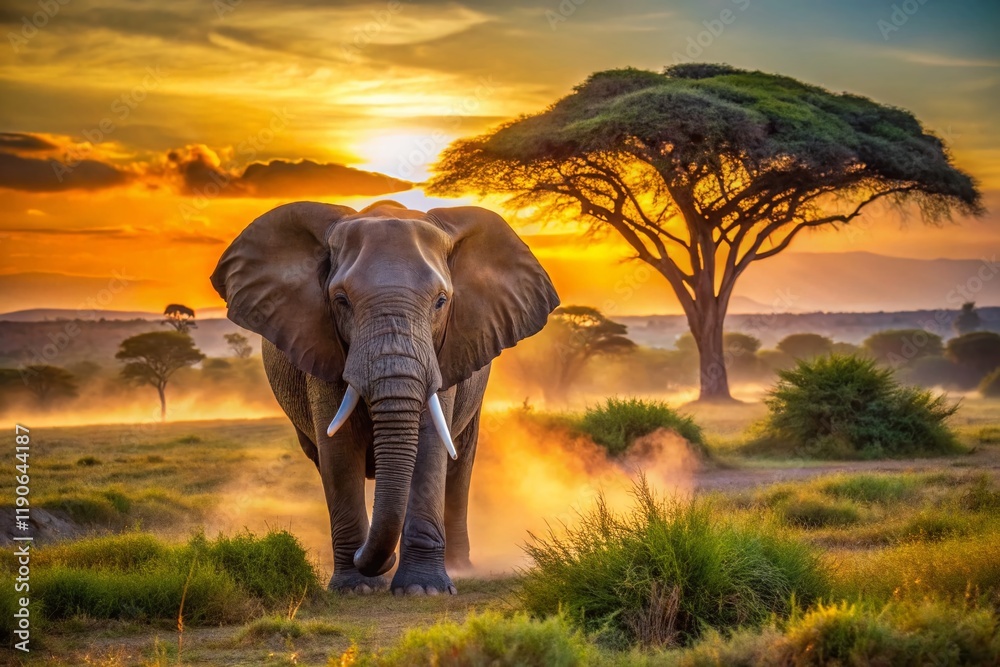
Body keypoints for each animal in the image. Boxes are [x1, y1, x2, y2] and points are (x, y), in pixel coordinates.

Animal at [210, 200, 559, 595]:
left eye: (441, 302)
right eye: (341, 300)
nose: (382, 560)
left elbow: (430, 446)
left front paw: (424, 590)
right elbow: (339, 450)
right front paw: (356, 588)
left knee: (459, 463)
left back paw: (459, 567)